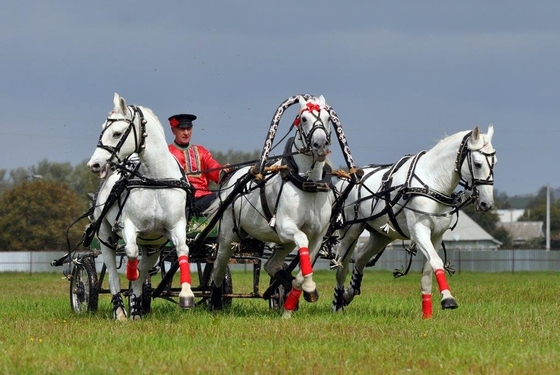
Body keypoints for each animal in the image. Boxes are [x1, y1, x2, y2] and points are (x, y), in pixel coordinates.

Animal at [86, 93, 194, 320]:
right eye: (103, 128)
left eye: (117, 133)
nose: (94, 164)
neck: (155, 179)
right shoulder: (128, 226)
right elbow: (131, 251)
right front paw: (130, 274)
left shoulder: (176, 227)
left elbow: (183, 249)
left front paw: (187, 295)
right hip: (105, 236)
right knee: (113, 273)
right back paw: (119, 311)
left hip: (153, 246)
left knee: (141, 276)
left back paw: (136, 309)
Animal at [207, 95, 334, 318]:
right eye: (304, 119)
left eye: (328, 118)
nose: (320, 145)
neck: (307, 184)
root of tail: (235, 175)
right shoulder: (286, 226)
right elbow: (301, 239)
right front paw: (308, 288)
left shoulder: (318, 236)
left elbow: (304, 268)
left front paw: (299, 293)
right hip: (228, 237)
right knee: (218, 268)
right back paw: (214, 302)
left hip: (283, 242)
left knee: (270, 264)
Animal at [330, 125, 496, 318]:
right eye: (477, 164)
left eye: (495, 162)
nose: (486, 203)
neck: (432, 183)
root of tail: (345, 180)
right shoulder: (419, 231)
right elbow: (437, 261)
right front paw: (448, 299)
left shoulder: (436, 236)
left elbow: (428, 271)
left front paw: (427, 312)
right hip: (351, 231)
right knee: (341, 267)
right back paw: (337, 304)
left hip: (382, 236)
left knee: (360, 259)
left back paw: (349, 294)